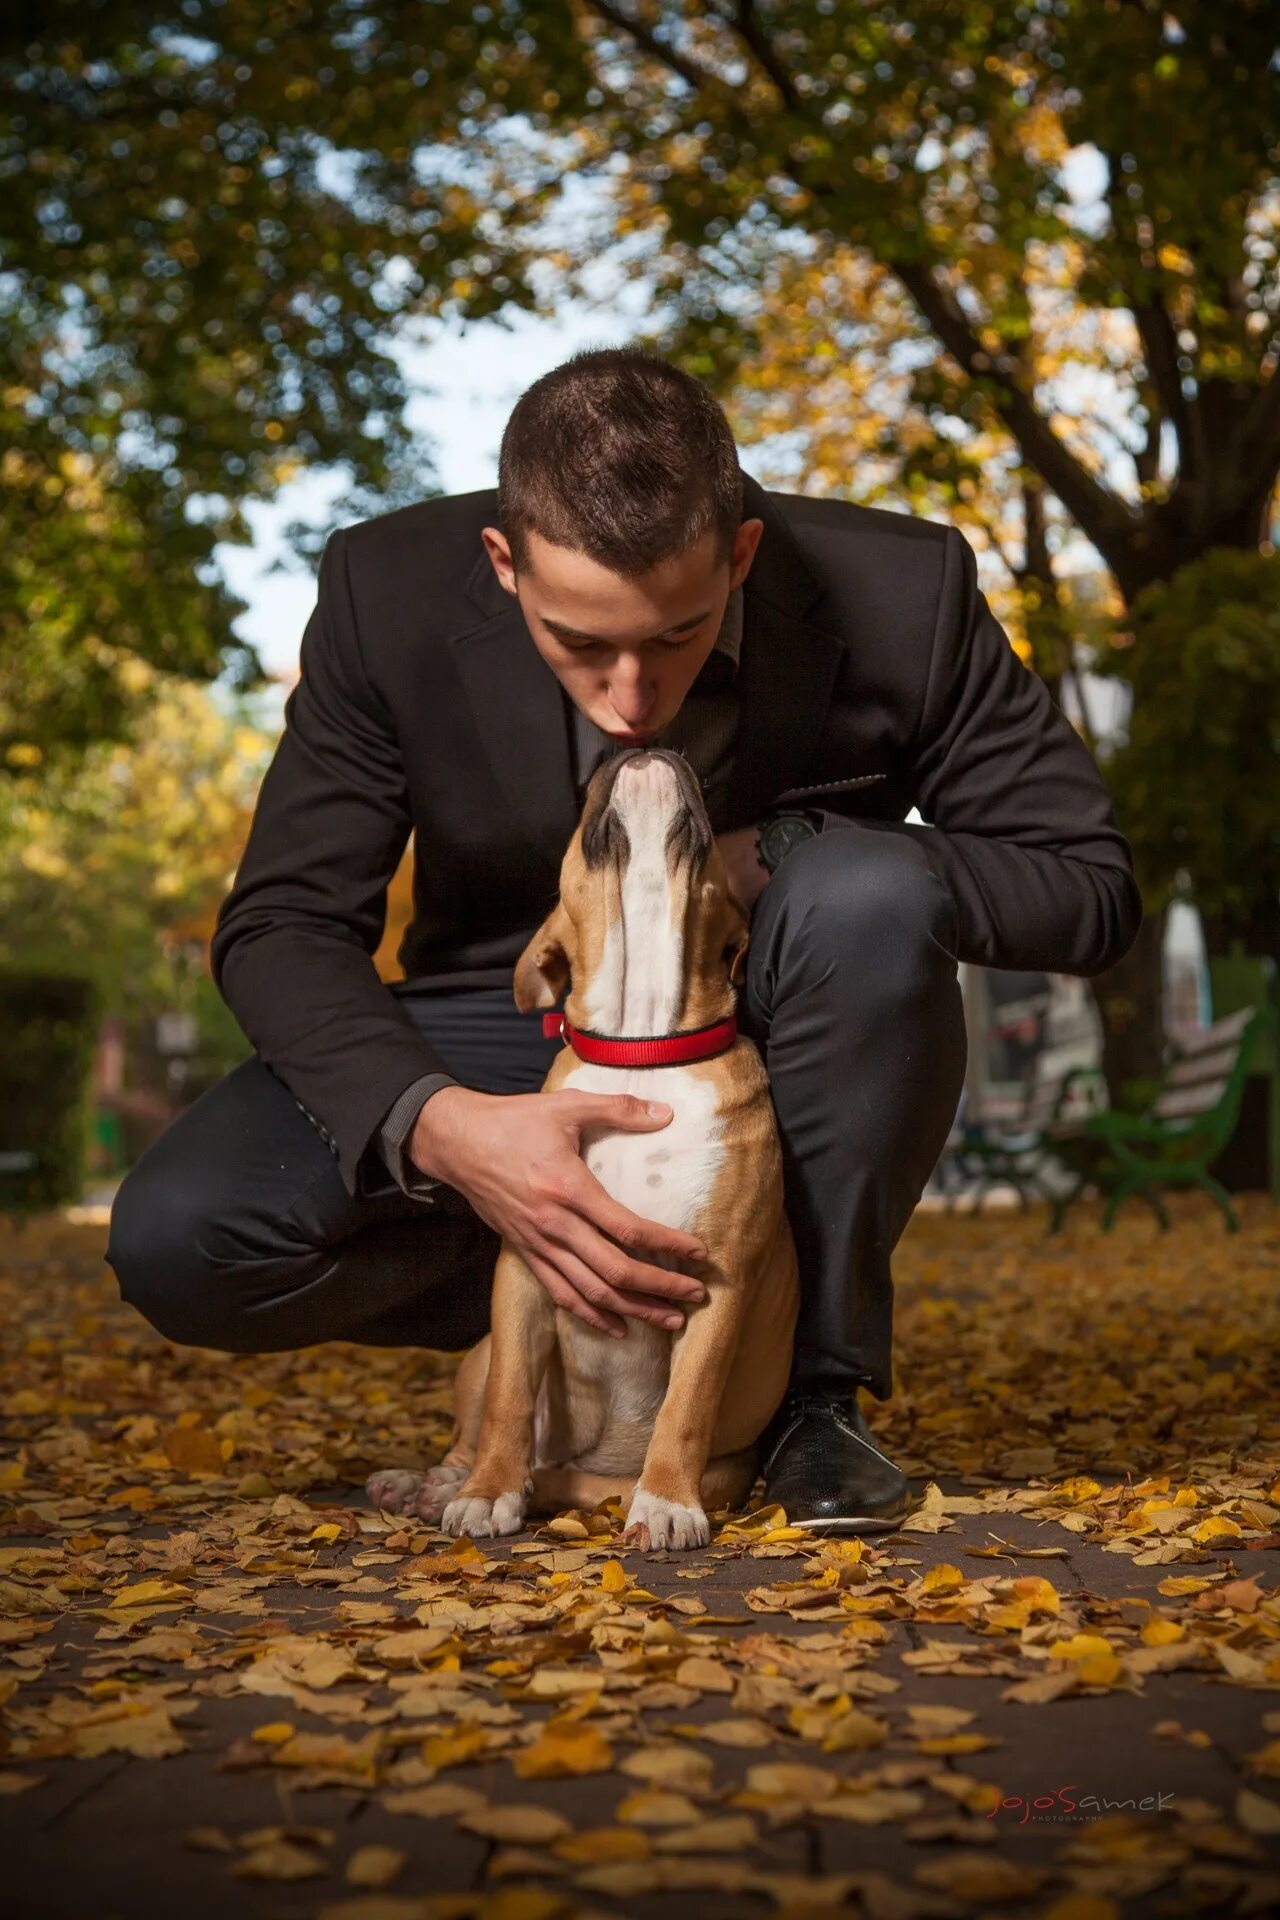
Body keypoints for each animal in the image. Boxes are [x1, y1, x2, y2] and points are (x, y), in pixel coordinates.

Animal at [364, 741, 794, 1551]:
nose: (646, 743)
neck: (641, 1047)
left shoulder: (719, 1281)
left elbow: (684, 1408)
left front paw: (666, 1502)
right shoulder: (528, 1265)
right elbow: (508, 1400)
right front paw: (487, 1493)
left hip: (725, 1464)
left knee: (589, 1479)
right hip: (480, 1353)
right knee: (477, 1431)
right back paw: (435, 1483)